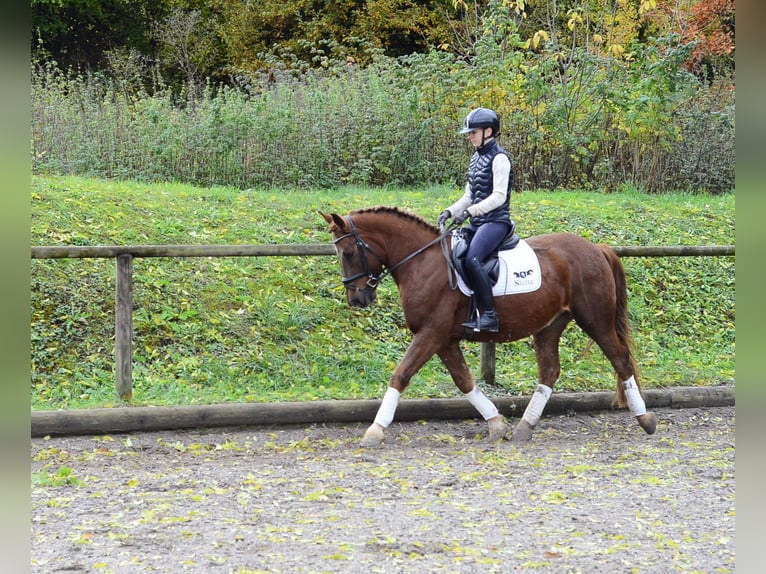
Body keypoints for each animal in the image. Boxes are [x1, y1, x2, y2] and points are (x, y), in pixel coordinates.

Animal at [320, 206, 658, 447]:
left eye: (348, 253)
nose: (357, 299)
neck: (423, 263)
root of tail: (596, 247)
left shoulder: (431, 333)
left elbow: (400, 375)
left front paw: (374, 431)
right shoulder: (444, 339)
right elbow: (463, 380)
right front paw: (496, 424)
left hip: (595, 319)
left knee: (620, 359)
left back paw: (645, 419)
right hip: (550, 325)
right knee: (550, 372)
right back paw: (524, 427)